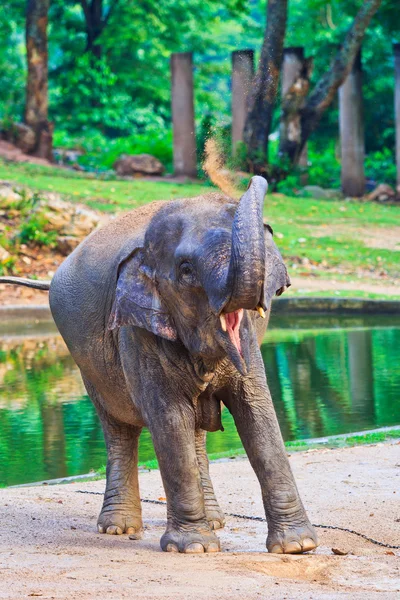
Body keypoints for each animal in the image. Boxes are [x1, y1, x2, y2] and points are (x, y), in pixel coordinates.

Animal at [0, 176, 318, 556]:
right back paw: (118, 528)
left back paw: (214, 521)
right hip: (88, 365)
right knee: (119, 427)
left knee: (195, 430)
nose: (253, 179)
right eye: (186, 271)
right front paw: (194, 549)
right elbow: (170, 418)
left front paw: (297, 547)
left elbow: (257, 412)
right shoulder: (137, 330)